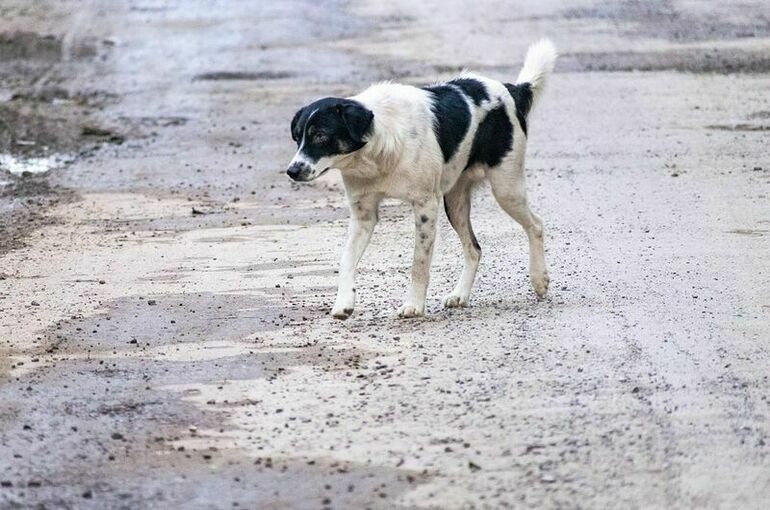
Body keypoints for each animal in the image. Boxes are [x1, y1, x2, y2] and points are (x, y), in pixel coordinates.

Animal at [284, 38, 556, 318]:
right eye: (297, 137)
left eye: (320, 136)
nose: (292, 171)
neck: (377, 150)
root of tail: (511, 89)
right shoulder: (363, 215)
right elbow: (346, 258)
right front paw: (343, 303)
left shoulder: (426, 206)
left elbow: (419, 263)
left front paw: (414, 305)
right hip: (455, 202)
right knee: (474, 249)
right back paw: (460, 294)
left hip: (506, 188)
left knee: (535, 225)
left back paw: (539, 279)